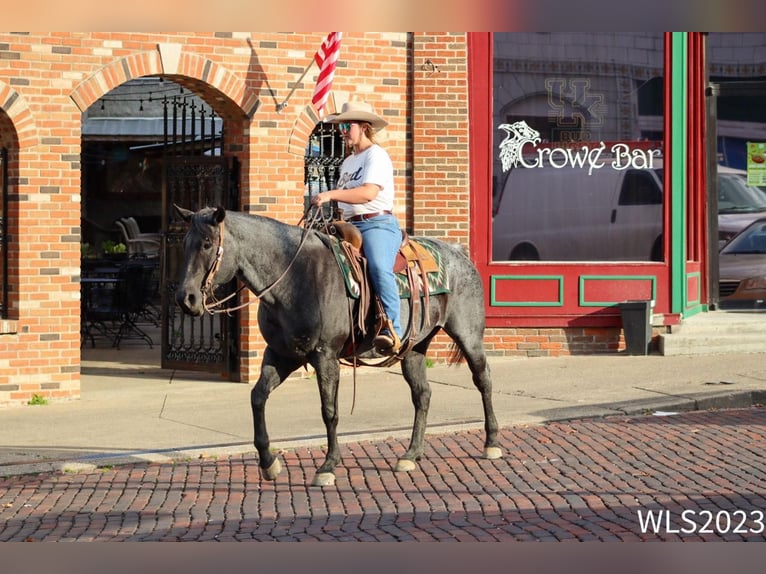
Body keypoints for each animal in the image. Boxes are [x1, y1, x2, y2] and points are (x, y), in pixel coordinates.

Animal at [172, 205, 504, 488]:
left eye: (206, 244)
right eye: (185, 243)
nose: (186, 299)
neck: (294, 278)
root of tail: (459, 253)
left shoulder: (325, 355)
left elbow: (329, 410)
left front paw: (328, 466)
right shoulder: (281, 354)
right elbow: (257, 397)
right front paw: (269, 462)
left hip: (468, 335)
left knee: (484, 380)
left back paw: (492, 443)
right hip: (414, 347)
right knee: (422, 394)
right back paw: (411, 454)